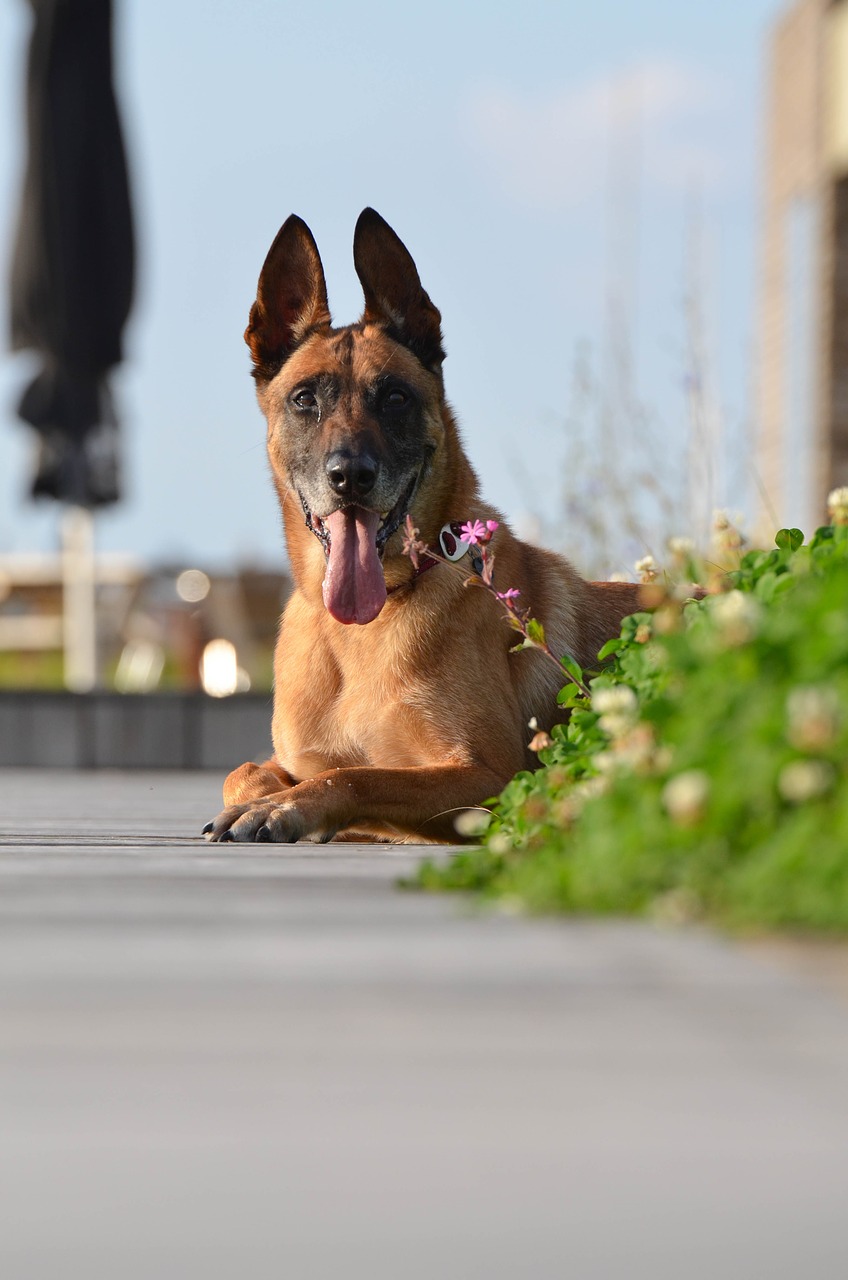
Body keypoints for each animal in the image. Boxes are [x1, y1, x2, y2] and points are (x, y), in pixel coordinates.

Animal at [206, 211, 640, 844]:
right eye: (305, 399)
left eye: (394, 397)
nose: (350, 476)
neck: (364, 628)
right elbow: (243, 772)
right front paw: (268, 799)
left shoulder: (487, 777)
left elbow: (357, 776)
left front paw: (287, 808)